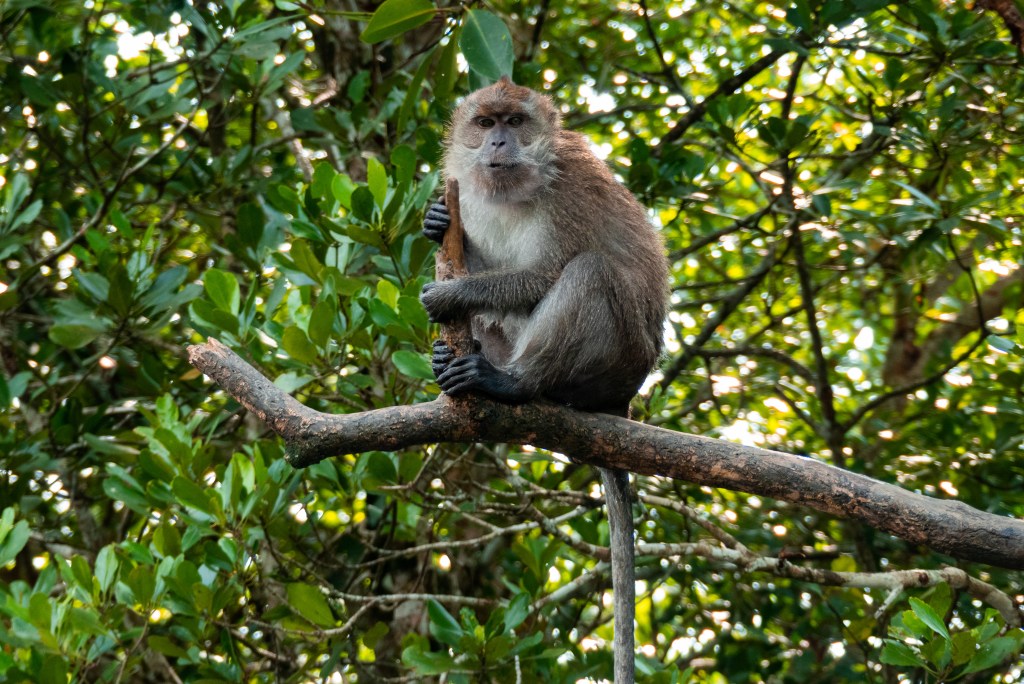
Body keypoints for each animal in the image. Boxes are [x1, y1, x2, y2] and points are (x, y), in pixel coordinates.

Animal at [419, 76, 667, 684]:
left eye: (514, 121)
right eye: (484, 123)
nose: (498, 143)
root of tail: (626, 398)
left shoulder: (569, 192)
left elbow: (544, 274)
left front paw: (454, 294)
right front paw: (436, 224)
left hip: (619, 357)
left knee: (589, 272)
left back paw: (512, 383)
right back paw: (459, 366)